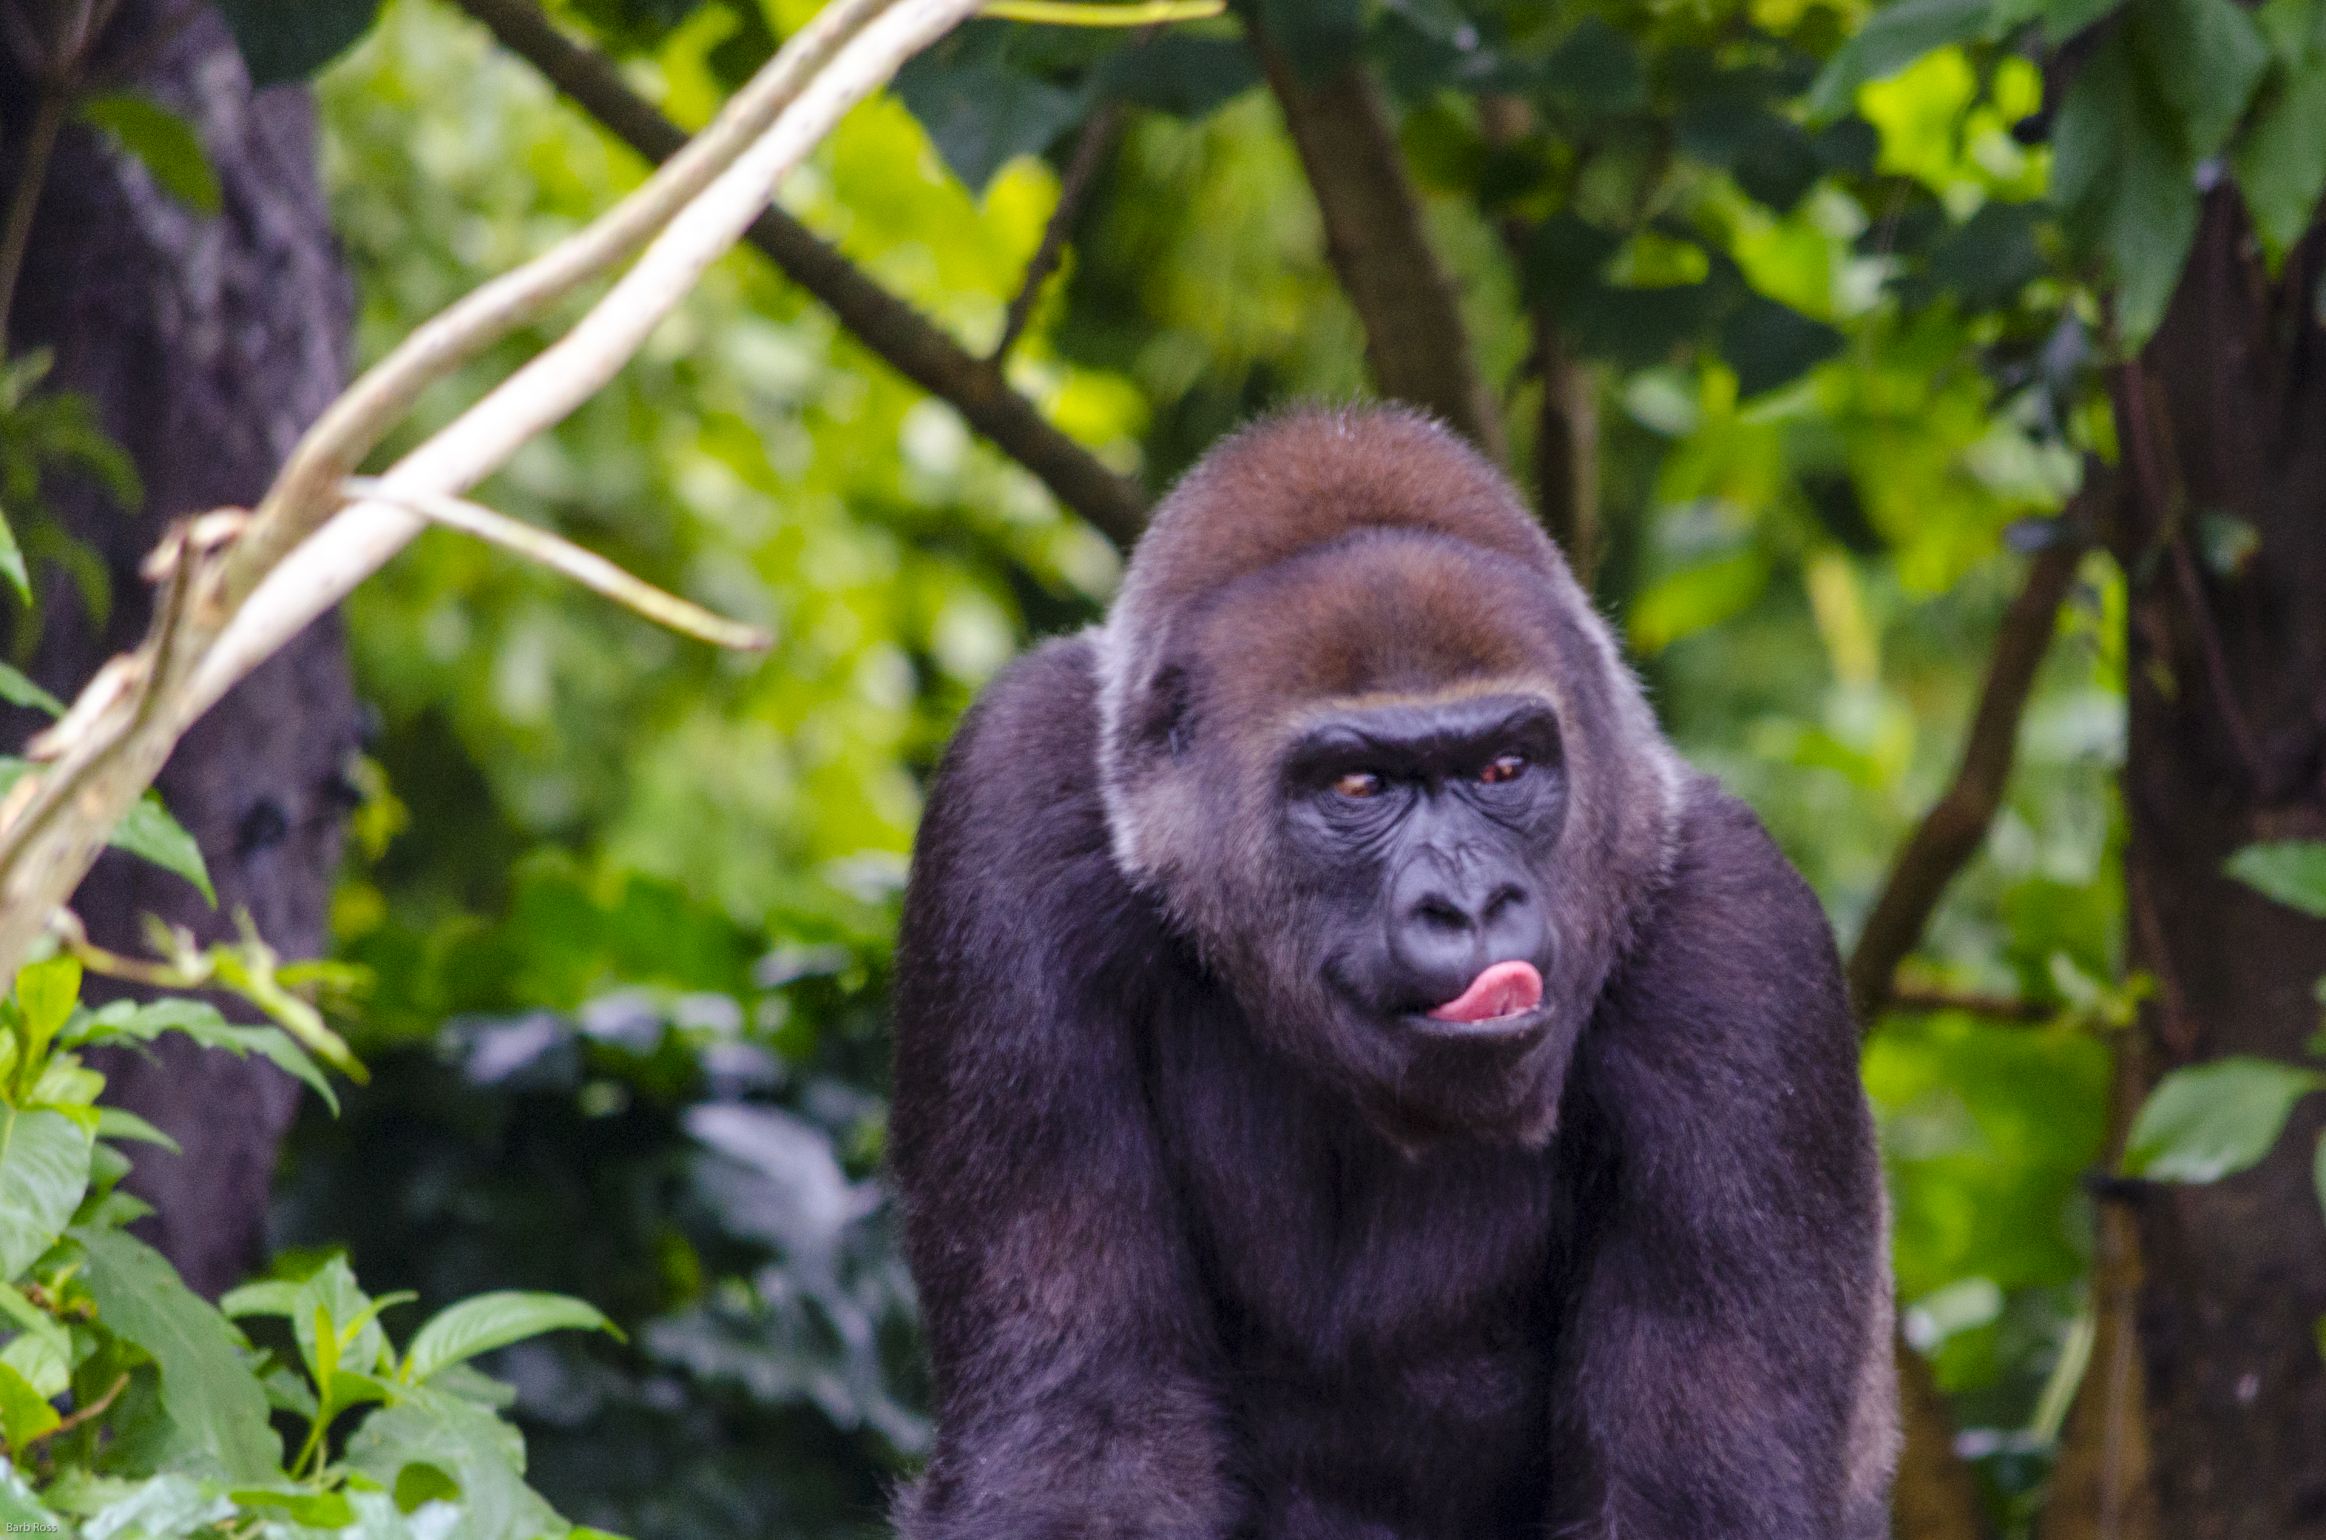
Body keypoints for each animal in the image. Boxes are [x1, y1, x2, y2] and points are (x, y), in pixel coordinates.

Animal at [883, 404, 1888, 1535]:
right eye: (1359, 785)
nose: (1468, 904)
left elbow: (1690, 1498)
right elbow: (1087, 1437)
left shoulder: (1745, 947)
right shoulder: (1012, 792)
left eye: (1504, 768)